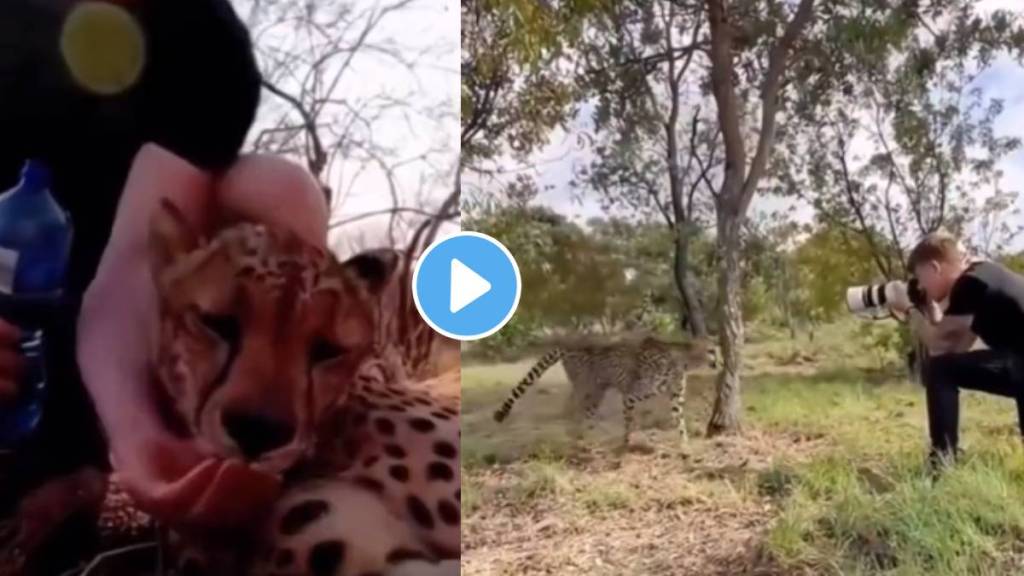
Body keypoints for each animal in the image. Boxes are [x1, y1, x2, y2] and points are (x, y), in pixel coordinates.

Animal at [494, 335, 715, 447]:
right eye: (710, 351)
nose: (717, 362)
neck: (682, 361)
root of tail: (570, 341)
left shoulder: (675, 398)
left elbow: (679, 421)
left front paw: (685, 445)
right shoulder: (630, 394)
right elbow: (629, 421)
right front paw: (627, 442)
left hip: (594, 390)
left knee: (577, 408)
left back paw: (583, 436)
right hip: (588, 387)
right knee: (573, 407)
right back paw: (578, 438)